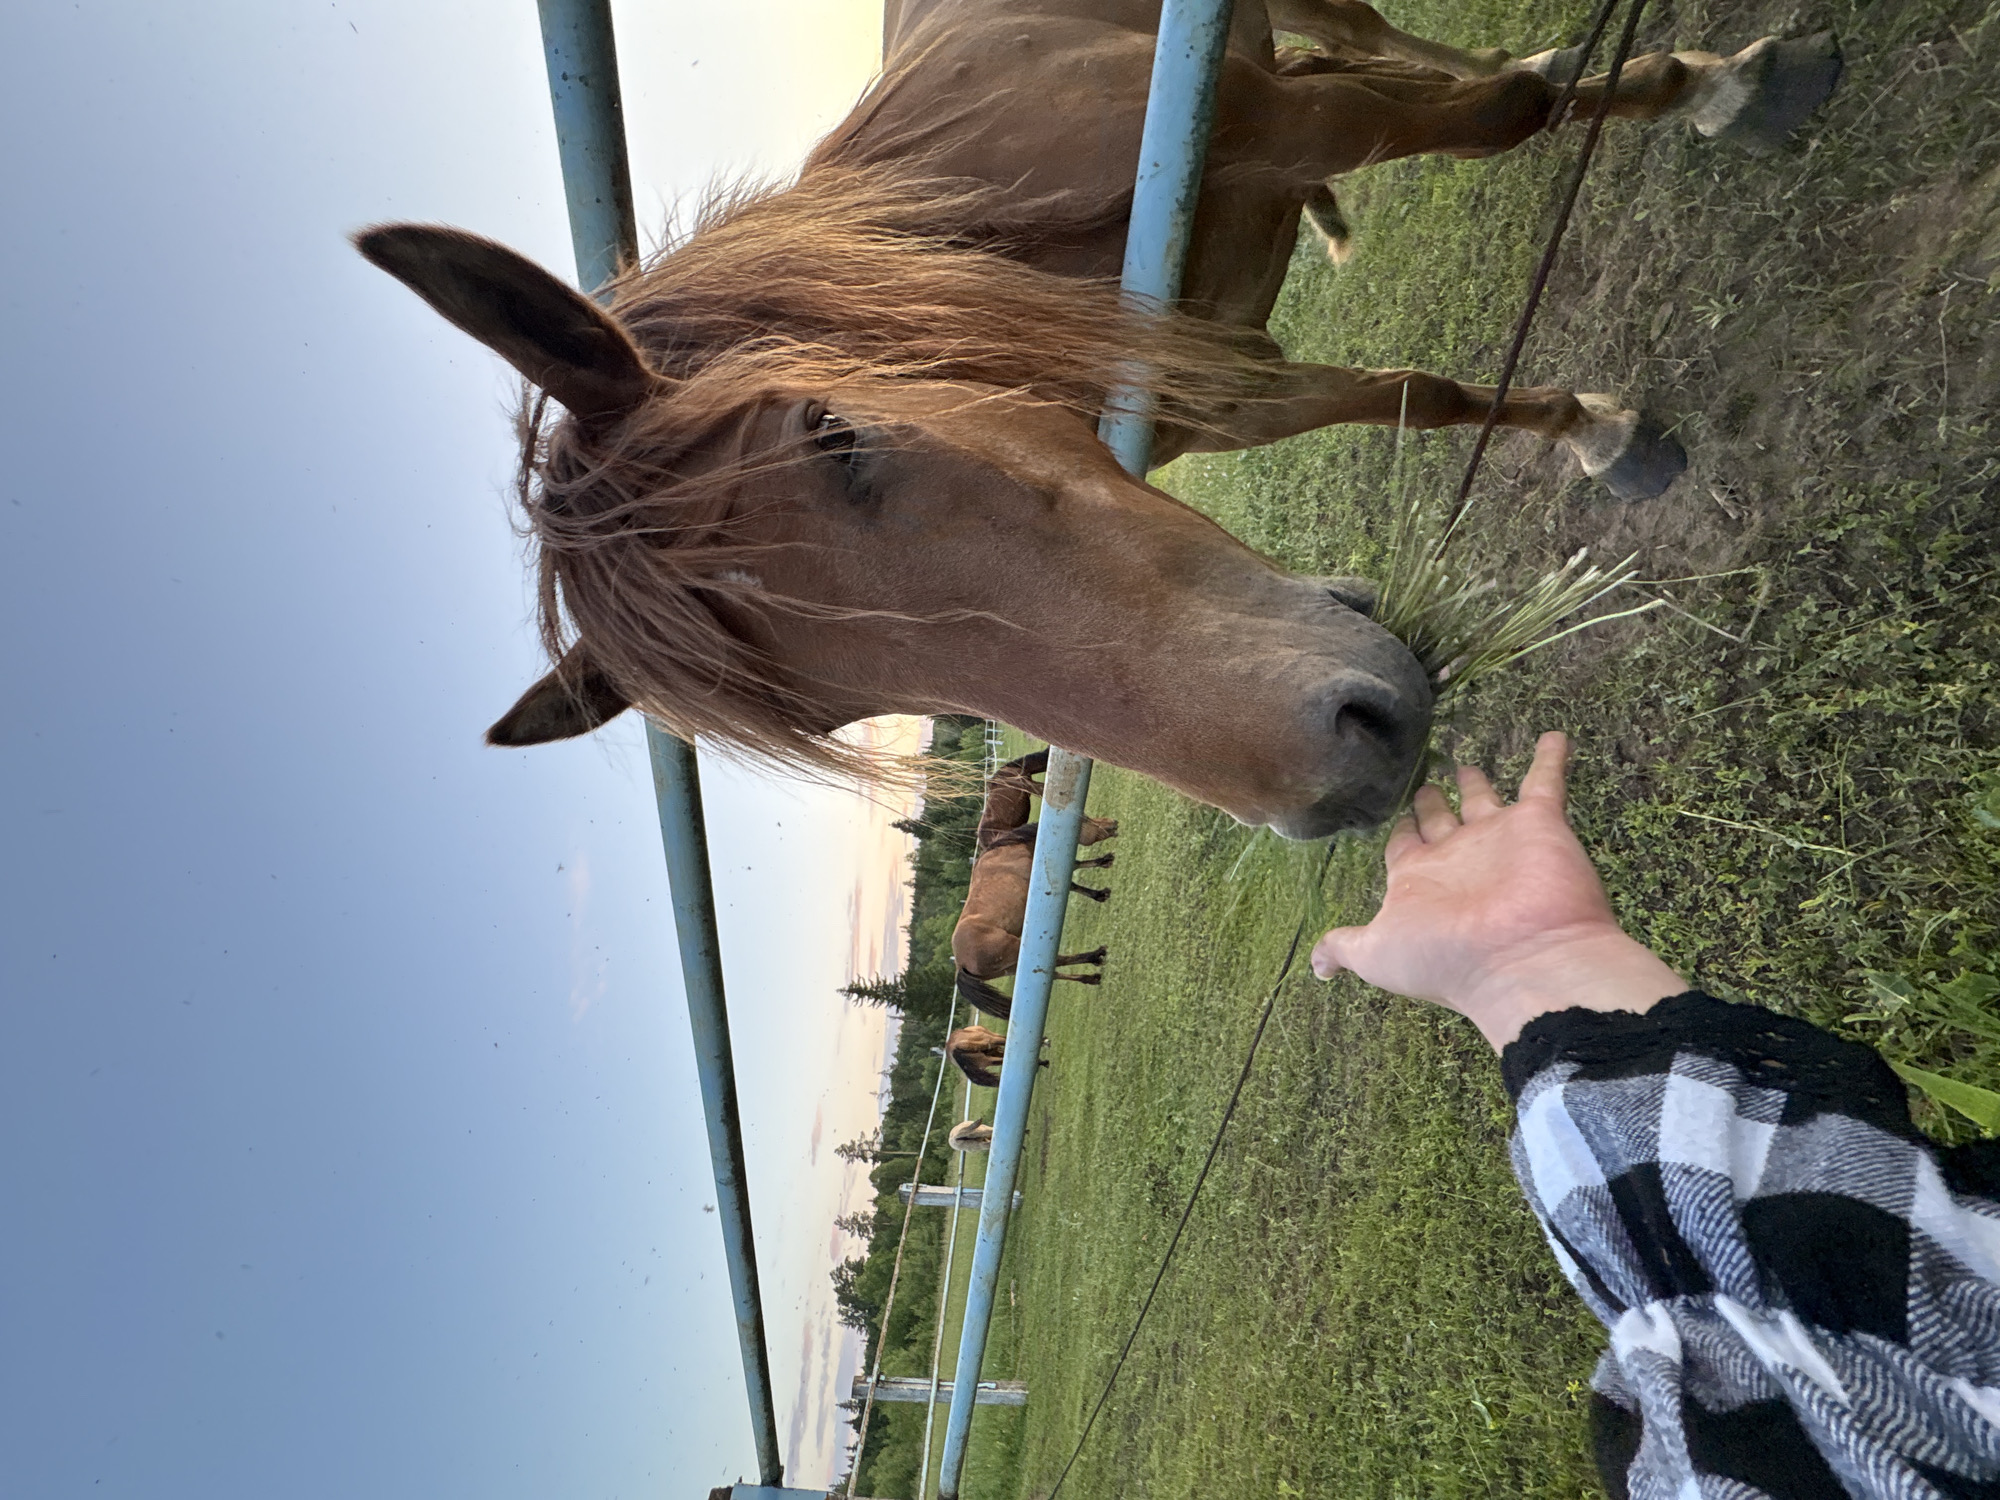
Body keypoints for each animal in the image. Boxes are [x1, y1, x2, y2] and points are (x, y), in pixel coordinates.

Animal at [358, 0, 1840, 838]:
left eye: (843, 437)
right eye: (842, 706)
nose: (1342, 771)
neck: (982, 210)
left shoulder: (1287, 119)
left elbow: (1502, 118)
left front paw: (1707, 88)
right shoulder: (1229, 382)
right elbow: (1412, 398)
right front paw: (1588, 424)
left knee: (1395, 43)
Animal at [952, 750, 1116, 1021]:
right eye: (1084, 821)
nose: (1113, 826)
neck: (1007, 850)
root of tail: (960, 963)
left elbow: (1074, 876)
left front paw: (1101, 883)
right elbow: (1072, 878)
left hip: (1011, 968)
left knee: (1052, 971)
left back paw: (1090, 977)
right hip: (1017, 950)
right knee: (1056, 962)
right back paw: (1095, 957)